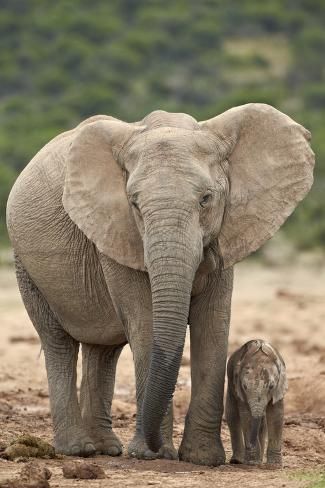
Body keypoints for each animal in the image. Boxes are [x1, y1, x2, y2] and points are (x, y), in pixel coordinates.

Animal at [5, 104, 314, 466]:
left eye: (206, 199)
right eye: (135, 204)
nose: (150, 447)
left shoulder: (225, 232)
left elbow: (214, 323)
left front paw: (202, 459)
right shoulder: (117, 229)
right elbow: (145, 322)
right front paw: (153, 455)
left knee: (103, 348)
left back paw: (106, 448)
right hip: (25, 264)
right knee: (58, 341)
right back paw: (79, 450)